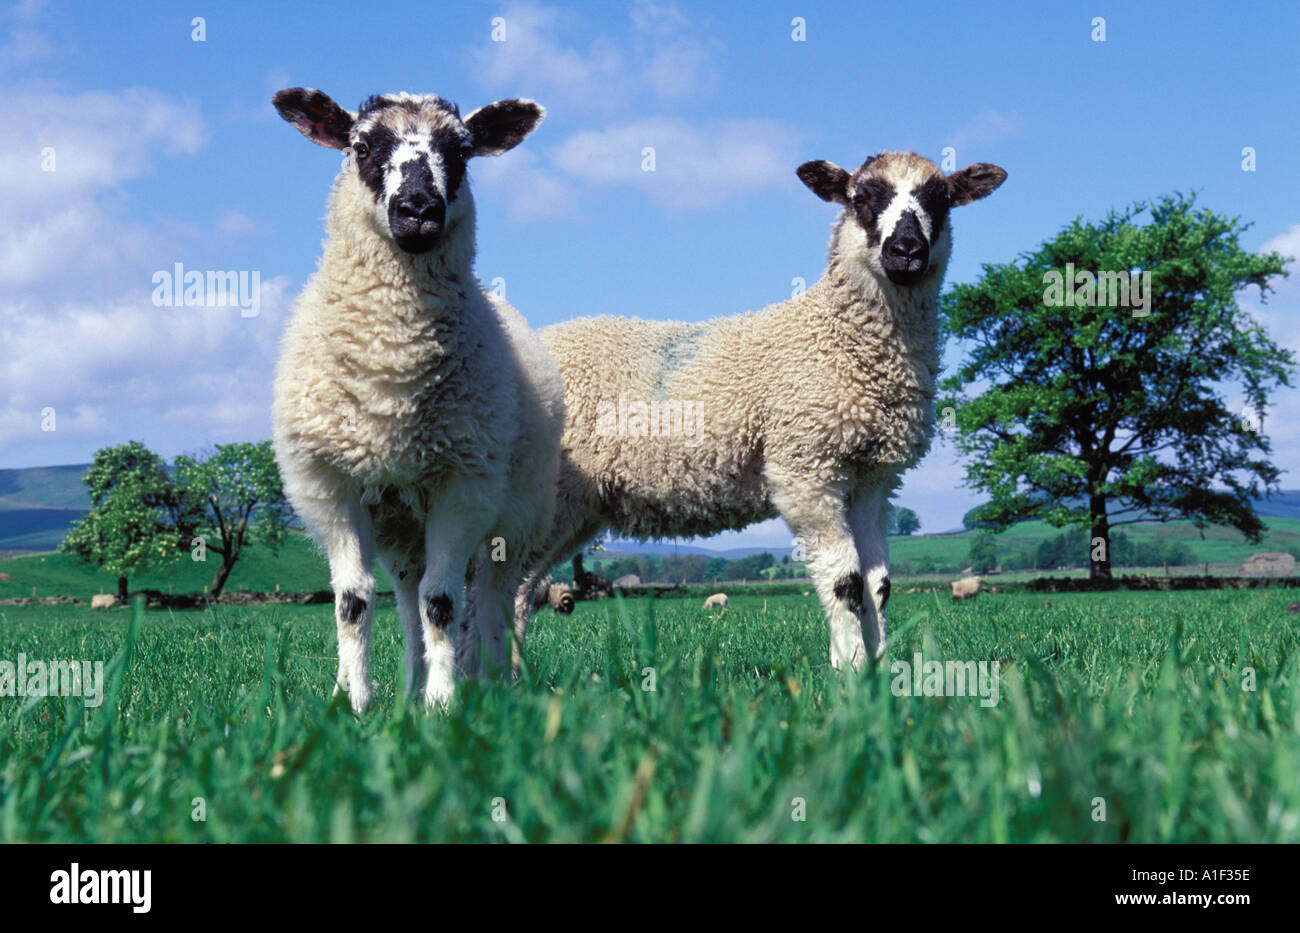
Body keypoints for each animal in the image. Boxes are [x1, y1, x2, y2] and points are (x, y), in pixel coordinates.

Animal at [269, 88, 563, 710]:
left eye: (463, 149)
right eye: (359, 146)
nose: (418, 209)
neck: (392, 366)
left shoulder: (464, 484)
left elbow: (443, 601)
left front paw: (444, 703)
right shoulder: (330, 485)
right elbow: (354, 600)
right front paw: (352, 700)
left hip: (517, 516)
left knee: (493, 599)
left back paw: (490, 682)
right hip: (400, 526)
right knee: (406, 601)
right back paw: (407, 688)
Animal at [513, 151, 1005, 673]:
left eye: (942, 199)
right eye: (861, 198)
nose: (907, 250)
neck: (840, 339)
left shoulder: (873, 480)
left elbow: (878, 586)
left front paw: (880, 668)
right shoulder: (805, 466)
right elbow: (845, 581)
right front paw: (851, 672)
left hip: (574, 505)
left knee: (520, 586)